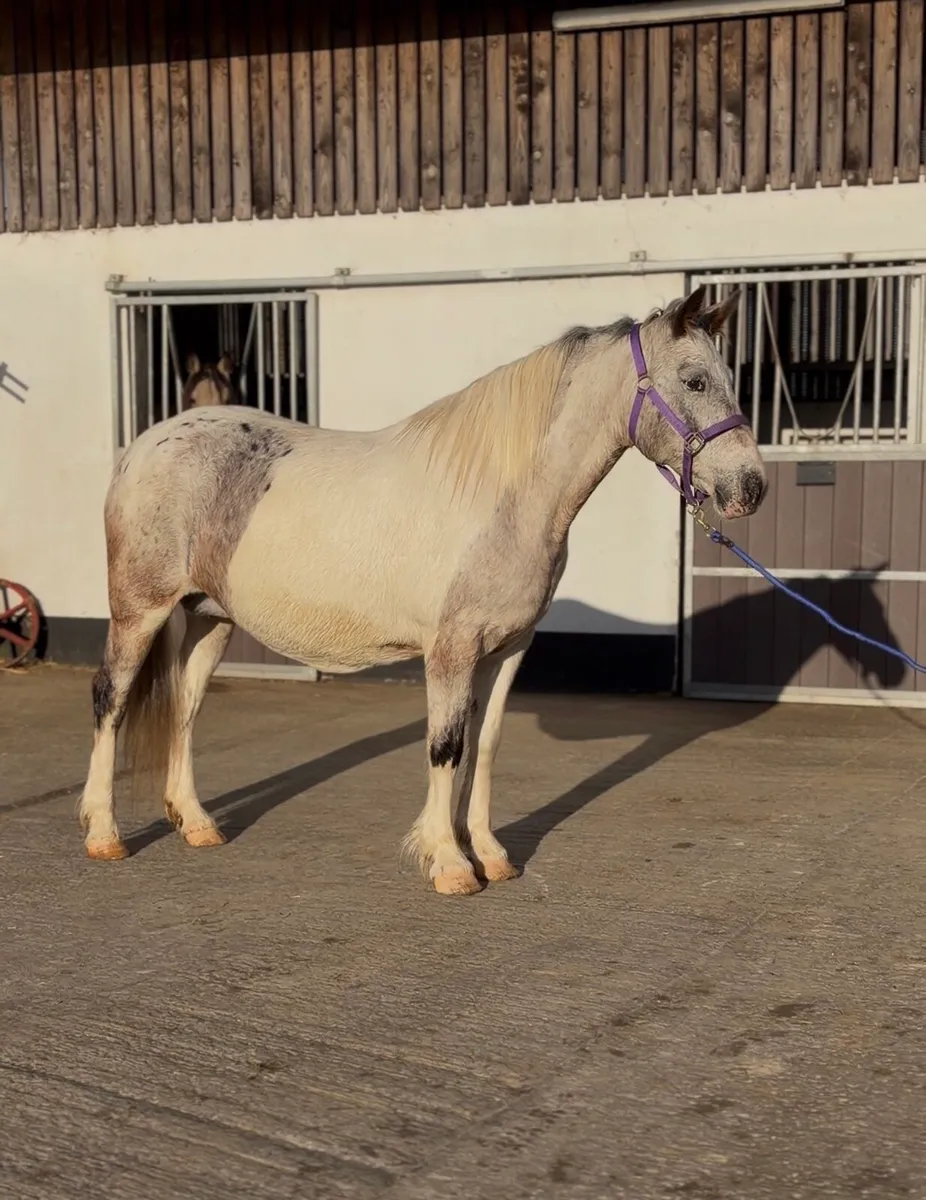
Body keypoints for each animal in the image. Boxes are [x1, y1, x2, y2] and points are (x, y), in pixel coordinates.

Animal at [79, 286, 767, 896]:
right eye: (695, 381)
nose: (751, 487)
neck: (502, 494)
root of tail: (143, 446)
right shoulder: (452, 650)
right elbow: (445, 746)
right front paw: (449, 864)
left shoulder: (507, 650)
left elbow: (484, 745)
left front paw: (490, 854)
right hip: (140, 611)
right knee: (112, 701)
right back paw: (104, 835)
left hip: (208, 619)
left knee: (186, 709)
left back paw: (196, 824)